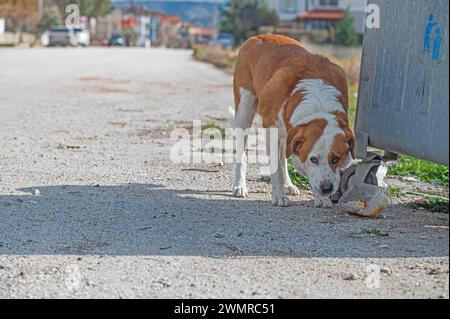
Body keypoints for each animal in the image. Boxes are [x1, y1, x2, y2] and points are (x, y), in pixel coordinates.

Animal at [232, 35, 356, 209]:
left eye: (335, 159)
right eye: (313, 159)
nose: (326, 189)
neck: (318, 105)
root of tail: (258, 36)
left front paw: (321, 198)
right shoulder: (271, 132)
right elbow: (276, 169)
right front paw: (279, 196)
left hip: (285, 135)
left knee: (283, 158)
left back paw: (289, 185)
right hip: (244, 110)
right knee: (242, 152)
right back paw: (240, 185)